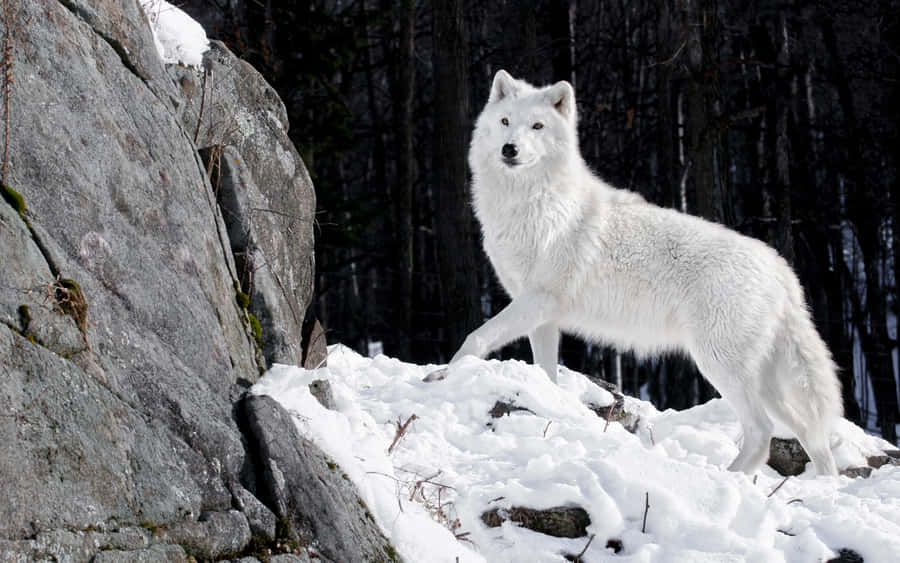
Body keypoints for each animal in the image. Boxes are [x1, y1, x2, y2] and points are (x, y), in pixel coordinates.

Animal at [431, 70, 843, 476]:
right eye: (505, 122)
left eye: (537, 126)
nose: (509, 149)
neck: (531, 203)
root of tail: (780, 268)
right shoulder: (542, 316)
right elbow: (546, 372)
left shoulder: (537, 300)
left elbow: (476, 338)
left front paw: (441, 375)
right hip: (765, 383)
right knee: (811, 434)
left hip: (719, 364)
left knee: (762, 433)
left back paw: (724, 478)